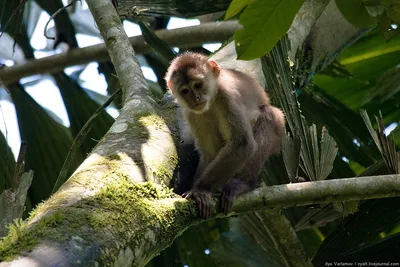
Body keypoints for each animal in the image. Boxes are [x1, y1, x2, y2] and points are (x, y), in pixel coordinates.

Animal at [165, 52, 284, 220]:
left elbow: (243, 143)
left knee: (269, 115)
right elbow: (208, 153)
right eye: (185, 91)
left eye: (198, 85)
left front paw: (201, 190)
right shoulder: (192, 113)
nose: (195, 98)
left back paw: (244, 183)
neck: (213, 99)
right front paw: (202, 191)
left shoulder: (227, 96)